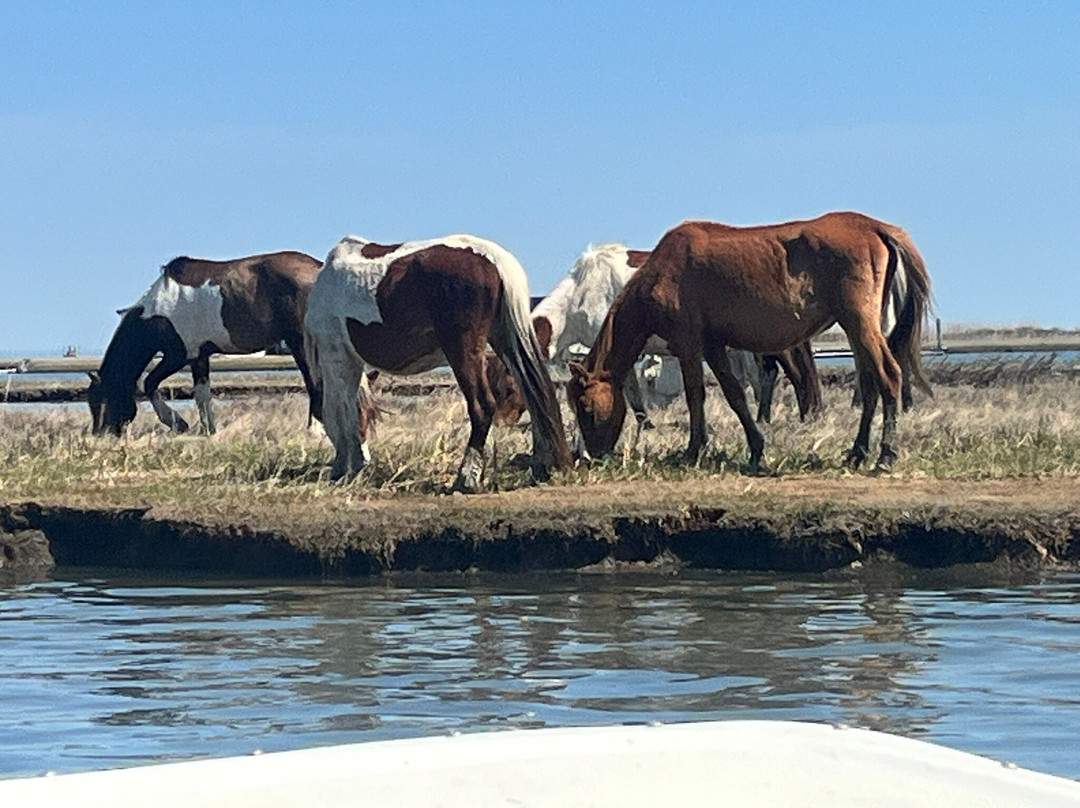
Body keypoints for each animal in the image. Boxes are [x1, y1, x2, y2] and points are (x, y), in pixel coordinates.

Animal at [88, 251, 323, 436]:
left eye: (103, 400)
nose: (101, 434)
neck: (157, 313)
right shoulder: (199, 356)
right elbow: (201, 393)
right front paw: (208, 429)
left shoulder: (178, 355)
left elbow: (150, 383)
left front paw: (176, 422)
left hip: (300, 343)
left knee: (313, 381)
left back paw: (314, 429)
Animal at [302, 234, 572, 492]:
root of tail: (495, 259)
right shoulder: (351, 361)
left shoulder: (336, 355)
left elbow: (339, 411)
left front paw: (344, 469)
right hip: (505, 341)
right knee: (535, 395)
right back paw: (542, 466)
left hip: (462, 350)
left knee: (483, 406)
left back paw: (466, 479)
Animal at [568, 212, 931, 471]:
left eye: (585, 408)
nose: (591, 458)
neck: (662, 270)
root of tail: (875, 227)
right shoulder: (713, 347)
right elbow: (734, 395)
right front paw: (756, 448)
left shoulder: (689, 346)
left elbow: (695, 396)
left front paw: (694, 450)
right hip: (858, 330)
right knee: (869, 385)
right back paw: (857, 452)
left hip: (860, 323)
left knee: (889, 375)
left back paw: (885, 455)